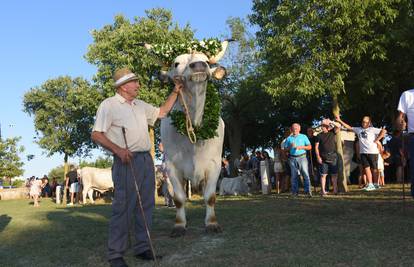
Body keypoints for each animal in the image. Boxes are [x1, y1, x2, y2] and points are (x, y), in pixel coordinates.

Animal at [146, 39, 230, 237]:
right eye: (176, 63)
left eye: (206, 60)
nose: (199, 65)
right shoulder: (172, 167)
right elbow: (178, 199)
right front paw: (179, 225)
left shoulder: (215, 165)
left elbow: (210, 197)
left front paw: (212, 223)